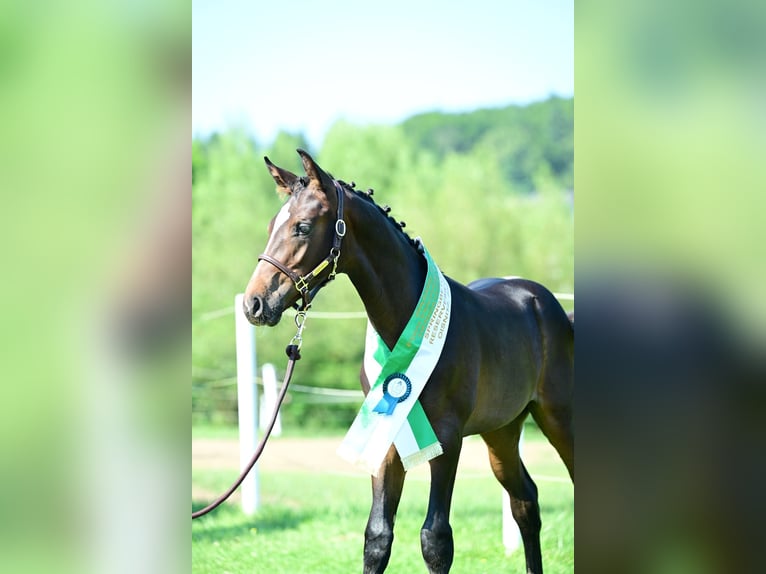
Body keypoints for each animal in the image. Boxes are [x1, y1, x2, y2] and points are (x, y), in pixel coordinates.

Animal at [243, 150, 572, 574]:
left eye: (302, 227)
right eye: (272, 225)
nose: (254, 303)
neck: (404, 325)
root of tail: (544, 302)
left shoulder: (447, 438)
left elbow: (436, 539)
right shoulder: (386, 433)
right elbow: (378, 536)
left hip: (558, 416)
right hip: (502, 430)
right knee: (525, 502)